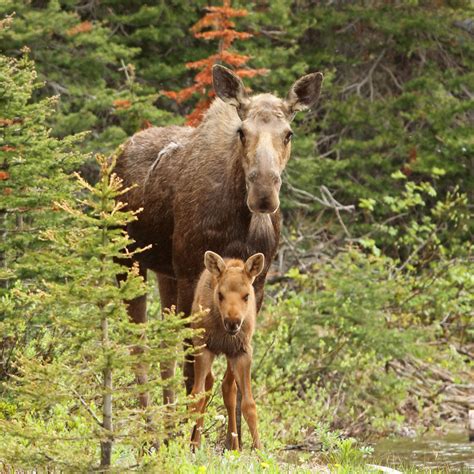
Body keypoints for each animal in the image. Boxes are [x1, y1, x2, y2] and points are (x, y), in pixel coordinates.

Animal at [116, 65, 322, 410]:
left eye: (288, 133)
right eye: (242, 132)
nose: (263, 193)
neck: (239, 222)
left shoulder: (257, 284)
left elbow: (232, 380)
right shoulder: (192, 274)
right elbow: (195, 374)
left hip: (165, 271)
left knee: (164, 348)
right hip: (128, 259)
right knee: (138, 345)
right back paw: (149, 421)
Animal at [189, 250, 264, 450]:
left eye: (246, 295)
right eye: (220, 294)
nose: (233, 322)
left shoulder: (242, 352)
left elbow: (248, 404)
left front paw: (260, 450)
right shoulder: (204, 347)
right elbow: (197, 397)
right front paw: (187, 445)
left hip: (231, 356)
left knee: (228, 389)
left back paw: (235, 446)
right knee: (210, 384)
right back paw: (198, 441)